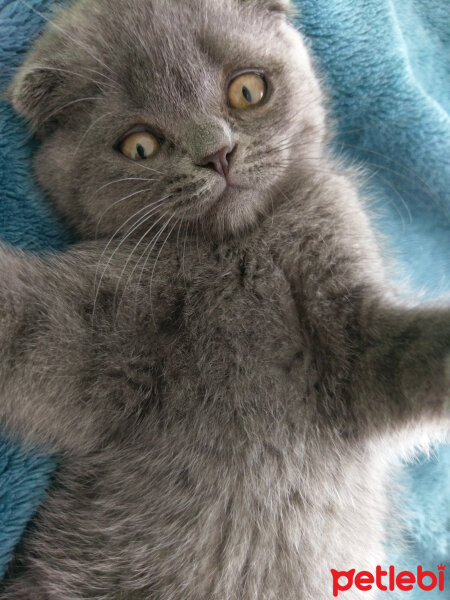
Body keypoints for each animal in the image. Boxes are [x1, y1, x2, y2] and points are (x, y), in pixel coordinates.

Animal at [0, 0, 448, 596]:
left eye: (247, 91)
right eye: (139, 145)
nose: (218, 154)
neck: (238, 250)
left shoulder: (355, 340)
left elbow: (409, 355)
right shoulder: (86, 322)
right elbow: (23, 323)